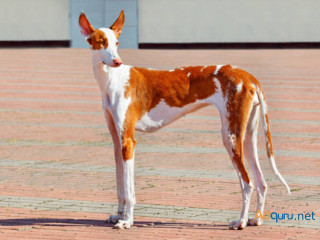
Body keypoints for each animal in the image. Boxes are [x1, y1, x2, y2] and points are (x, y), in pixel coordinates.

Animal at [79, 9, 292, 231]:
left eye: (117, 42)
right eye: (102, 42)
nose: (117, 62)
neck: (113, 79)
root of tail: (249, 76)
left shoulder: (128, 142)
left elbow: (129, 191)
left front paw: (127, 221)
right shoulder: (117, 142)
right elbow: (120, 186)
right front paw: (118, 215)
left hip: (230, 137)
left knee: (247, 183)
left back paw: (240, 221)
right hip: (247, 137)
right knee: (261, 181)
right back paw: (256, 219)